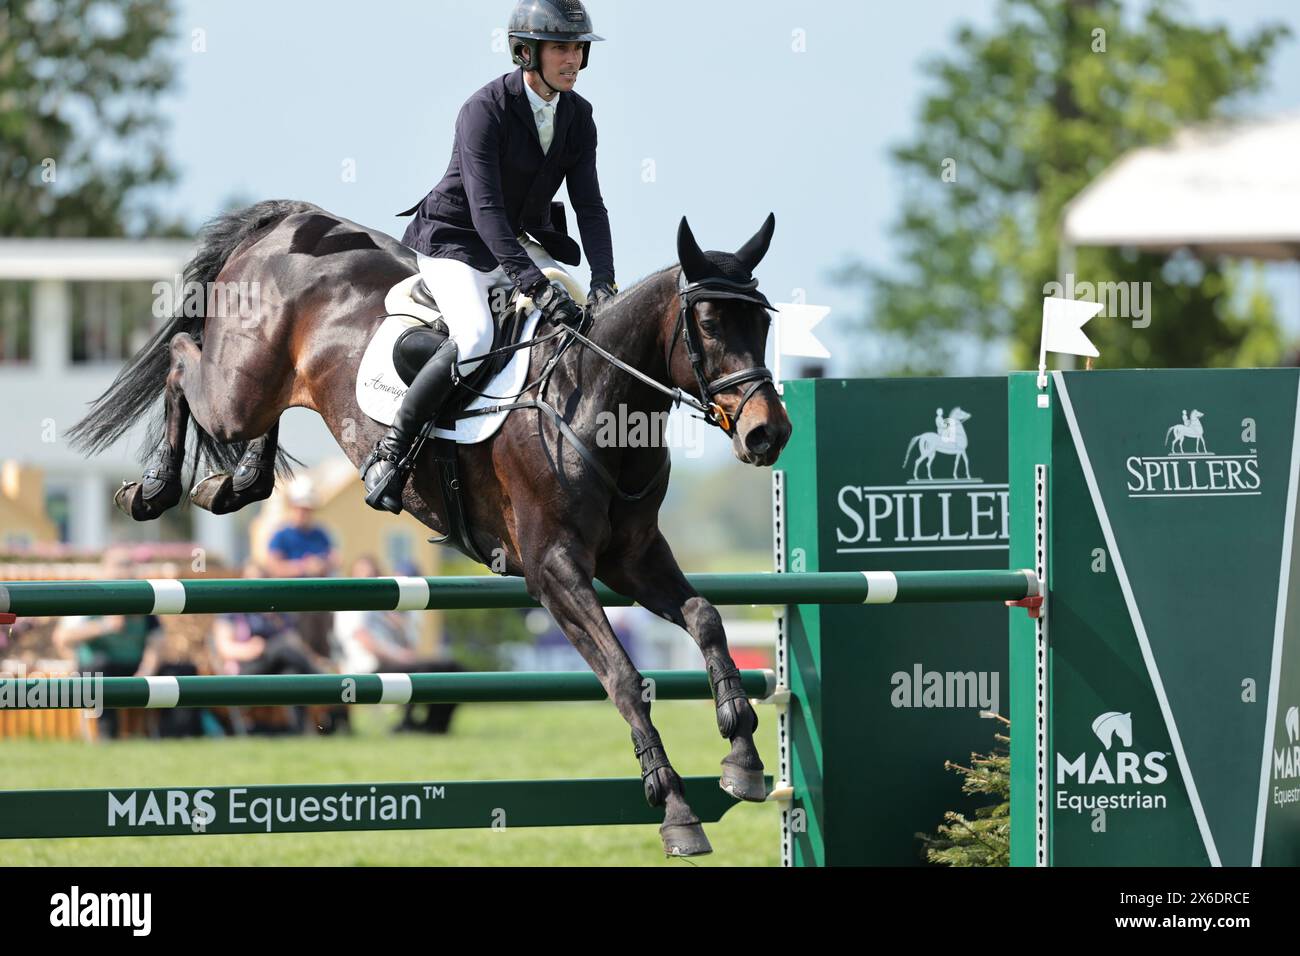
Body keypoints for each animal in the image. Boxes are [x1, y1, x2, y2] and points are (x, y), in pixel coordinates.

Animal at [68, 197, 790, 858]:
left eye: (761, 322)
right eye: (708, 322)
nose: (769, 434)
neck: (592, 401)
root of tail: (292, 221)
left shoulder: (633, 558)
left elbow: (704, 618)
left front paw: (743, 758)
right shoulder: (553, 570)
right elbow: (622, 677)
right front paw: (676, 811)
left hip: (270, 385)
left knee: (249, 426)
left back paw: (234, 481)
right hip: (236, 387)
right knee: (182, 360)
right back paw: (153, 489)